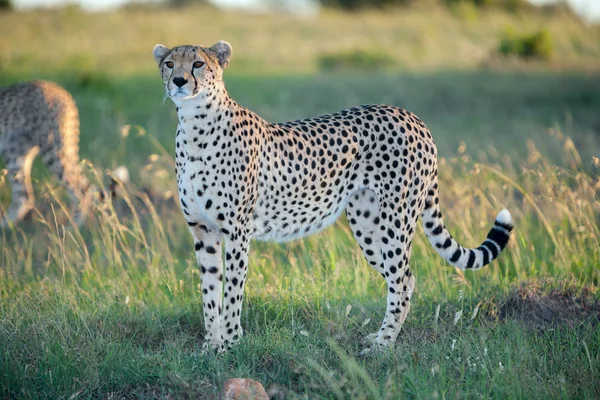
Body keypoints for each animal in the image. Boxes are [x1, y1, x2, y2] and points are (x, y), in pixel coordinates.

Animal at [0, 80, 92, 228]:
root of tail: (59, 89)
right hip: (14, 151)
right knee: (24, 197)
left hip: (53, 150)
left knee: (82, 190)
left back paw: (74, 228)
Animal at [152, 40, 512, 354]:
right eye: (169, 64)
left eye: (198, 64)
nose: (180, 81)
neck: (195, 126)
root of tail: (410, 116)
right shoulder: (203, 231)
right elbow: (209, 292)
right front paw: (210, 347)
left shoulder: (238, 232)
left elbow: (232, 292)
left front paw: (229, 344)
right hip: (368, 228)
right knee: (403, 279)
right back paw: (380, 337)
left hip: (395, 222)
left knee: (402, 279)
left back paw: (383, 346)